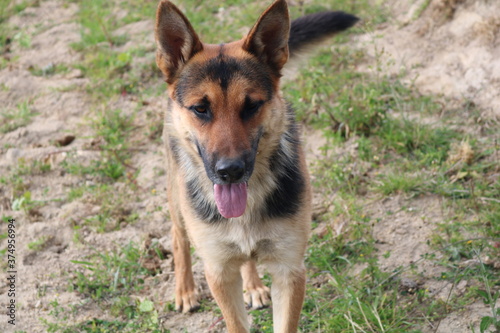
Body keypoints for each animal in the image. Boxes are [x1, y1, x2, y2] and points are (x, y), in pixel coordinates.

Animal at [154, 1, 358, 330]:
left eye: (251, 105)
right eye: (201, 108)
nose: (230, 171)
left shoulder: (289, 269)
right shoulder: (219, 272)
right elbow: (236, 322)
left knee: (246, 258)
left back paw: (253, 285)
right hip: (176, 195)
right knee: (178, 236)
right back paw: (185, 289)